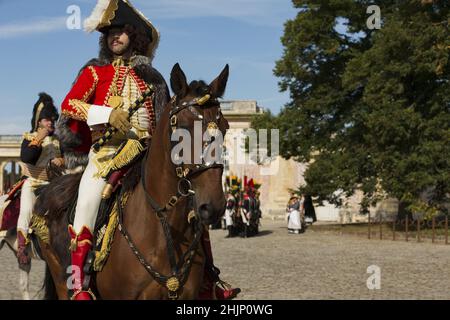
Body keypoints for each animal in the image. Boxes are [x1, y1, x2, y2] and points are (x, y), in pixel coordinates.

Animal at [36, 64, 229, 300]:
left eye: (225, 127)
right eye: (183, 128)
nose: (214, 206)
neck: (163, 225)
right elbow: (71, 101)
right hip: (61, 281)